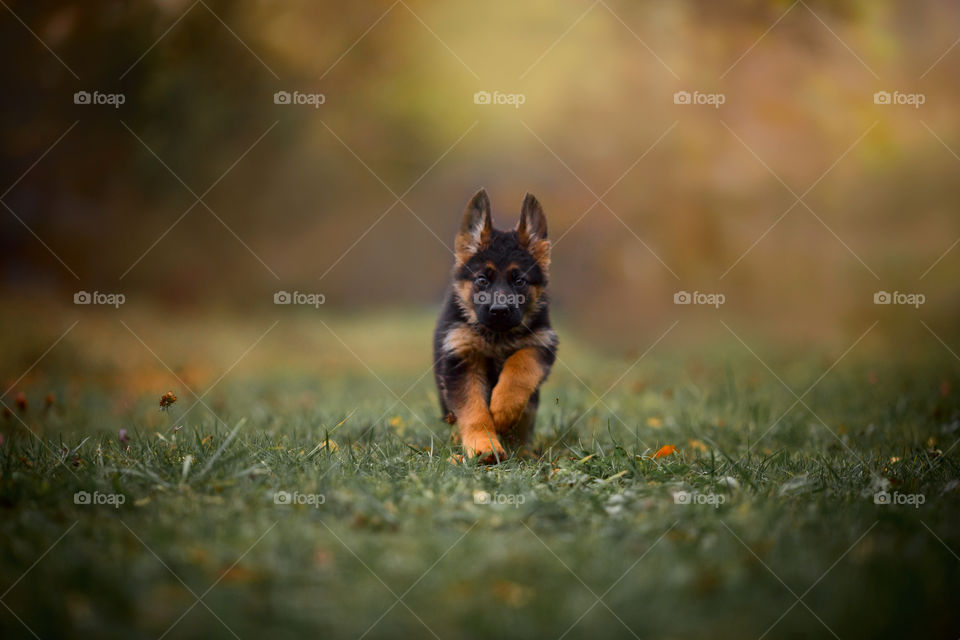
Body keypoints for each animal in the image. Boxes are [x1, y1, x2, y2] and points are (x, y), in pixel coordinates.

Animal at [434, 188, 560, 462]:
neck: (497, 337)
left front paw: (503, 410)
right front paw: (483, 447)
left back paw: (522, 451)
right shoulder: (462, 360)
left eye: (519, 281)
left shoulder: (541, 344)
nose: (500, 311)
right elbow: (474, 411)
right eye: (482, 279)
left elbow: (520, 366)